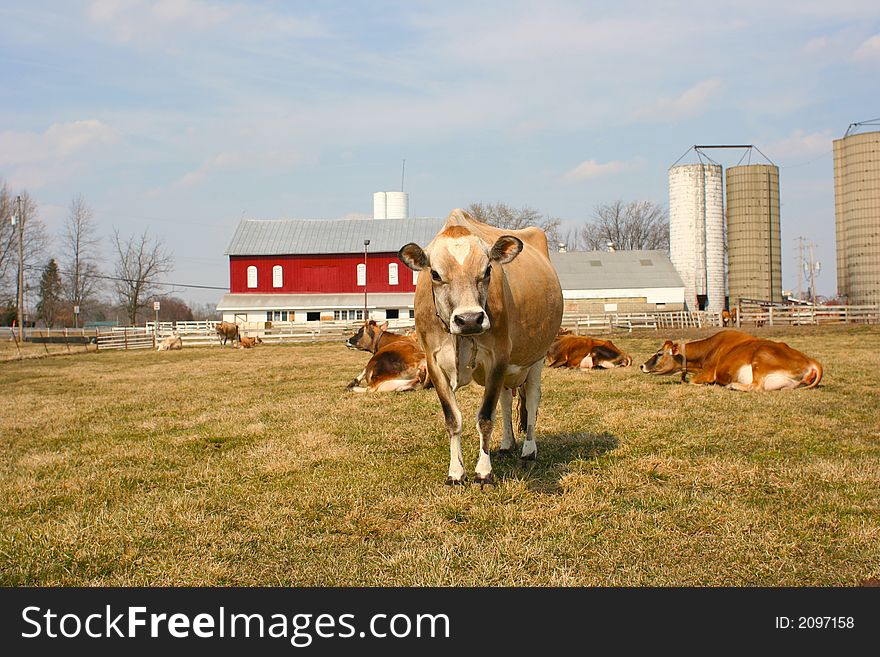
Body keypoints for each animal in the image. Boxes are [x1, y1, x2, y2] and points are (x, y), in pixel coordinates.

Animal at [398, 208, 564, 484]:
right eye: (435, 274)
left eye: (487, 270)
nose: (469, 319)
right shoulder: (434, 362)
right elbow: (453, 419)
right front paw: (456, 472)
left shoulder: (498, 356)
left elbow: (485, 417)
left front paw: (483, 471)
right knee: (506, 400)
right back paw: (507, 444)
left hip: (537, 357)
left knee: (532, 399)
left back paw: (528, 449)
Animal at [640, 328, 824, 390]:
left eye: (659, 354)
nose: (642, 365)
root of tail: (811, 361)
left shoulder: (709, 373)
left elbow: (692, 381)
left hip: (761, 356)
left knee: (755, 387)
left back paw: (732, 385)